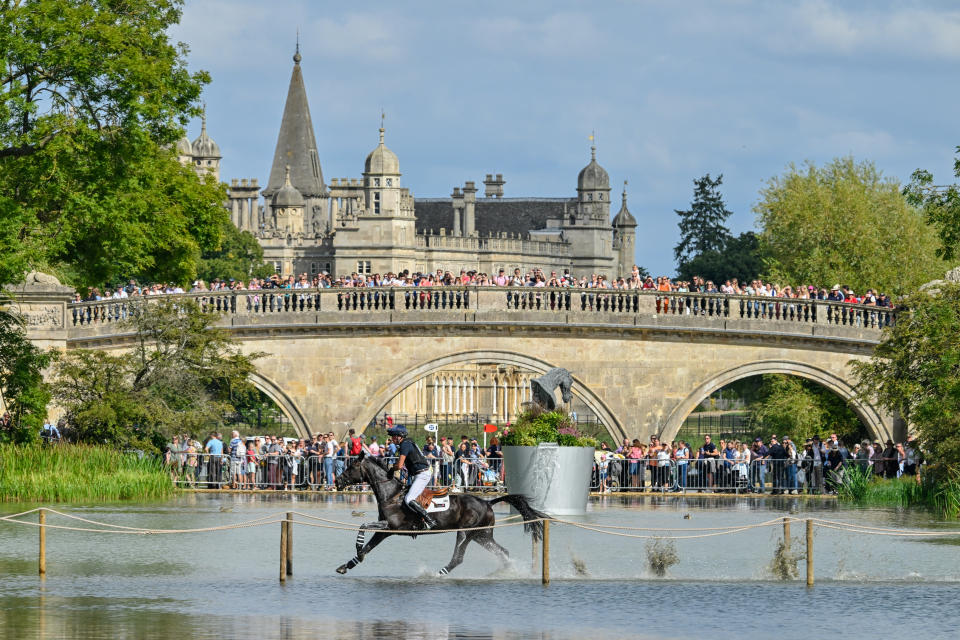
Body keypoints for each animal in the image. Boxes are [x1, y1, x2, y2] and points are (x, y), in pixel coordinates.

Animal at [336, 450, 548, 576]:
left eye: (351, 467)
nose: (337, 481)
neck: (391, 494)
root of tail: (487, 502)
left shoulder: (391, 525)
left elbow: (363, 526)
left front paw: (357, 549)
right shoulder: (384, 531)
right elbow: (367, 547)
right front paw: (349, 563)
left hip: (465, 533)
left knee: (458, 558)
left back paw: (436, 574)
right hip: (482, 535)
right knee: (502, 551)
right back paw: (503, 572)